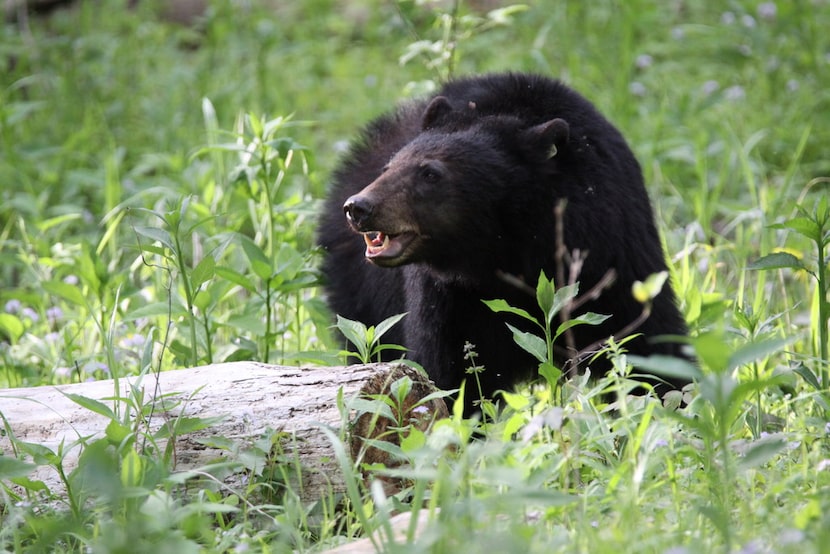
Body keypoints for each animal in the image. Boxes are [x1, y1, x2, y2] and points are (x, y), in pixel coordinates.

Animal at [322, 72, 692, 402]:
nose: (359, 207)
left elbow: (648, 340)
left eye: (430, 173)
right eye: (389, 167)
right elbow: (449, 370)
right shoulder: (448, 297)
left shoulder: (611, 251)